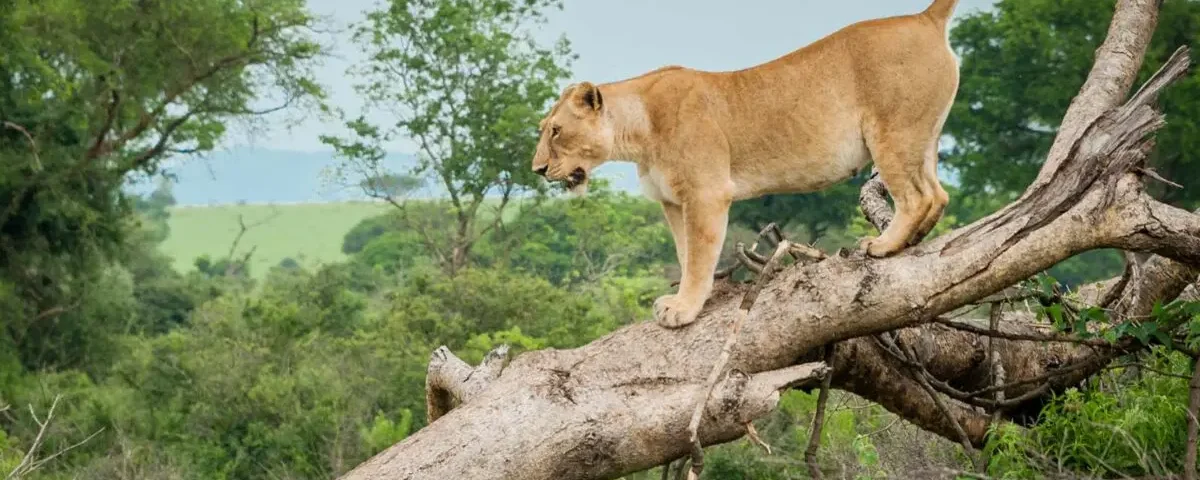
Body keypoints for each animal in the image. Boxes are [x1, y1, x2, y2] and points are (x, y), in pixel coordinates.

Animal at [531, 0, 960, 329]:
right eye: (544, 129)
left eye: (555, 130)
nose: (537, 169)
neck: (637, 131)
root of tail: (923, 17)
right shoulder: (673, 201)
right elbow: (685, 254)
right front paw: (689, 299)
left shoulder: (706, 193)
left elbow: (698, 256)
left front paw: (683, 309)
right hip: (924, 138)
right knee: (938, 193)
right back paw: (914, 239)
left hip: (892, 134)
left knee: (916, 196)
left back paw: (884, 245)